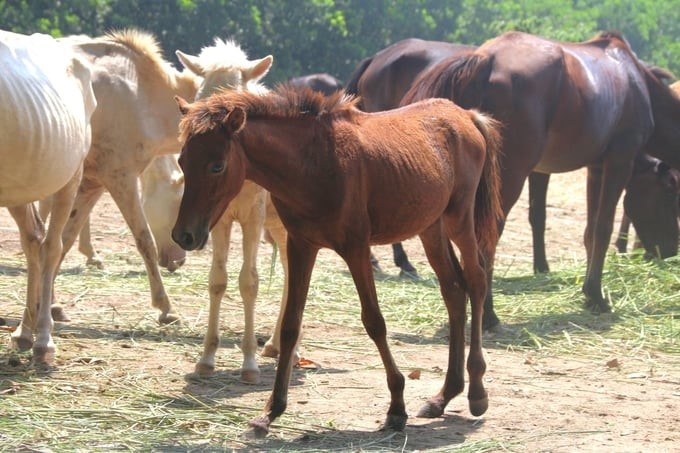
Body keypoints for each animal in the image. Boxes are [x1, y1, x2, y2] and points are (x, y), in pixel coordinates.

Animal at [0, 29, 97, 364]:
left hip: (70, 177)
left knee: (52, 246)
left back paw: (43, 339)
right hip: (21, 187)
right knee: (34, 242)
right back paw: (23, 332)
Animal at [173, 85, 504, 434]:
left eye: (217, 165)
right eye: (182, 160)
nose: (184, 235)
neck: (314, 163)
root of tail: (467, 115)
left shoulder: (356, 248)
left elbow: (374, 322)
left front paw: (396, 407)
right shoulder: (301, 245)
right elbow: (290, 325)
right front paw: (272, 410)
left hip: (459, 218)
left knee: (476, 281)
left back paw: (476, 392)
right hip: (431, 227)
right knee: (453, 290)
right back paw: (443, 396)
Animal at [175, 40, 294, 384]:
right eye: (201, 97)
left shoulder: (253, 217)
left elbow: (249, 282)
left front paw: (249, 364)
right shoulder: (218, 220)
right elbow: (218, 279)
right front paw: (206, 358)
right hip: (279, 227)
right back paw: (276, 344)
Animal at [404, 31, 680, 328]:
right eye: (670, 191)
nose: (670, 249)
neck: (634, 81)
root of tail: (484, 60)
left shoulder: (595, 169)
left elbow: (590, 231)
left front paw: (588, 293)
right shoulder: (619, 161)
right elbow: (603, 228)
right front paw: (597, 296)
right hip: (508, 178)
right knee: (488, 232)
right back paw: (488, 314)